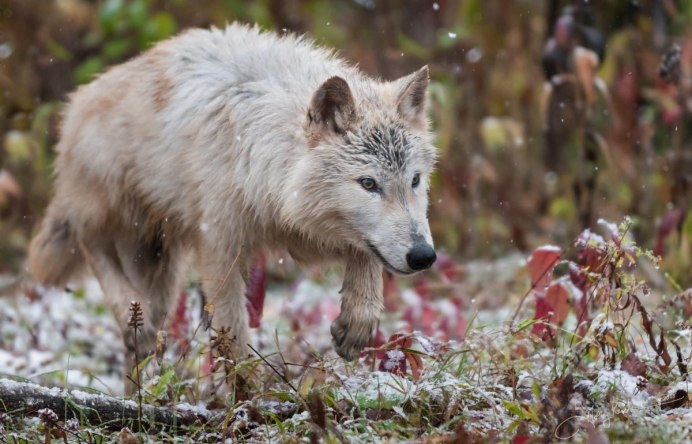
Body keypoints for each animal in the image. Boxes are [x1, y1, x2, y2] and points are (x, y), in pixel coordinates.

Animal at [28, 22, 438, 386]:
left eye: (415, 180)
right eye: (368, 184)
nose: (423, 256)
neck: (259, 153)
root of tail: (79, 99)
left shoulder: (311, 231)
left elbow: (366, 262)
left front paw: (354, 326)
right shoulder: (220, 247)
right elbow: (233, 334)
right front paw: (244, 400)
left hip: (160, 268)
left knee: (144, 336)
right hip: (108, 212)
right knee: (92, 248)